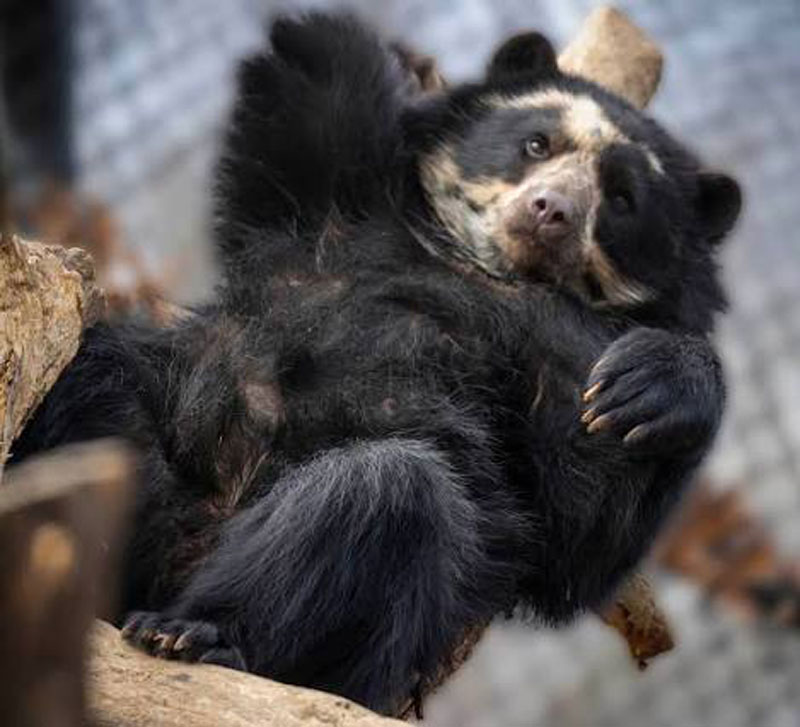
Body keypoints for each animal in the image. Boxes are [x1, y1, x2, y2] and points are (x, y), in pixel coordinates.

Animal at [13, 13, 740, 716]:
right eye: (537, 144)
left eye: (622, 197)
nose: (551, 212)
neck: (482, 269)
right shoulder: (328, 205)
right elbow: (311, 85)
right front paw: (406, 66)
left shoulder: (565, 363)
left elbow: (585, 527)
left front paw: (647, 390)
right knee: (102, 377)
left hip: (369, 652)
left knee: (380, 495)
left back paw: (194, 632)